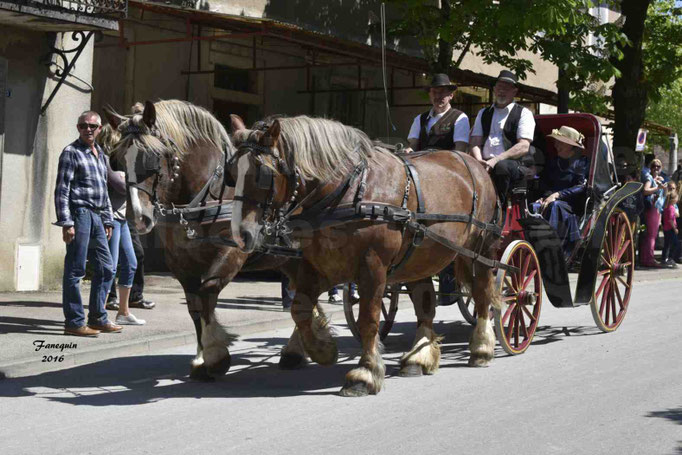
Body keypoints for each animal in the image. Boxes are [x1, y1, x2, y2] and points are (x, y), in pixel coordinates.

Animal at [105, 100, 322, 382]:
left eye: (151, 157)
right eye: (118, 160)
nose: (137, 217)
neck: (206, 195)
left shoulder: (232, 251)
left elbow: (207, 293)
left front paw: (216, 355)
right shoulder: (181, 263)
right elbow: (195, 307)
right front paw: (201, 358)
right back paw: (301, 347)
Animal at [228, 116, 500, 398]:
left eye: (262, 174)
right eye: (232, 173)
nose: (242, 234)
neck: (349, 192)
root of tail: (475, 165)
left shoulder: (371, 267)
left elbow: (368, 319)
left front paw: (365, 373)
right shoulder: (320, 267)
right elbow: (300, 309)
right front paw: (322, 349)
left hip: (480, 250)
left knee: (482, 293)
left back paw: (481, 348)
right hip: (420, 255)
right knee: (425, 303)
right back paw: (418, 358)